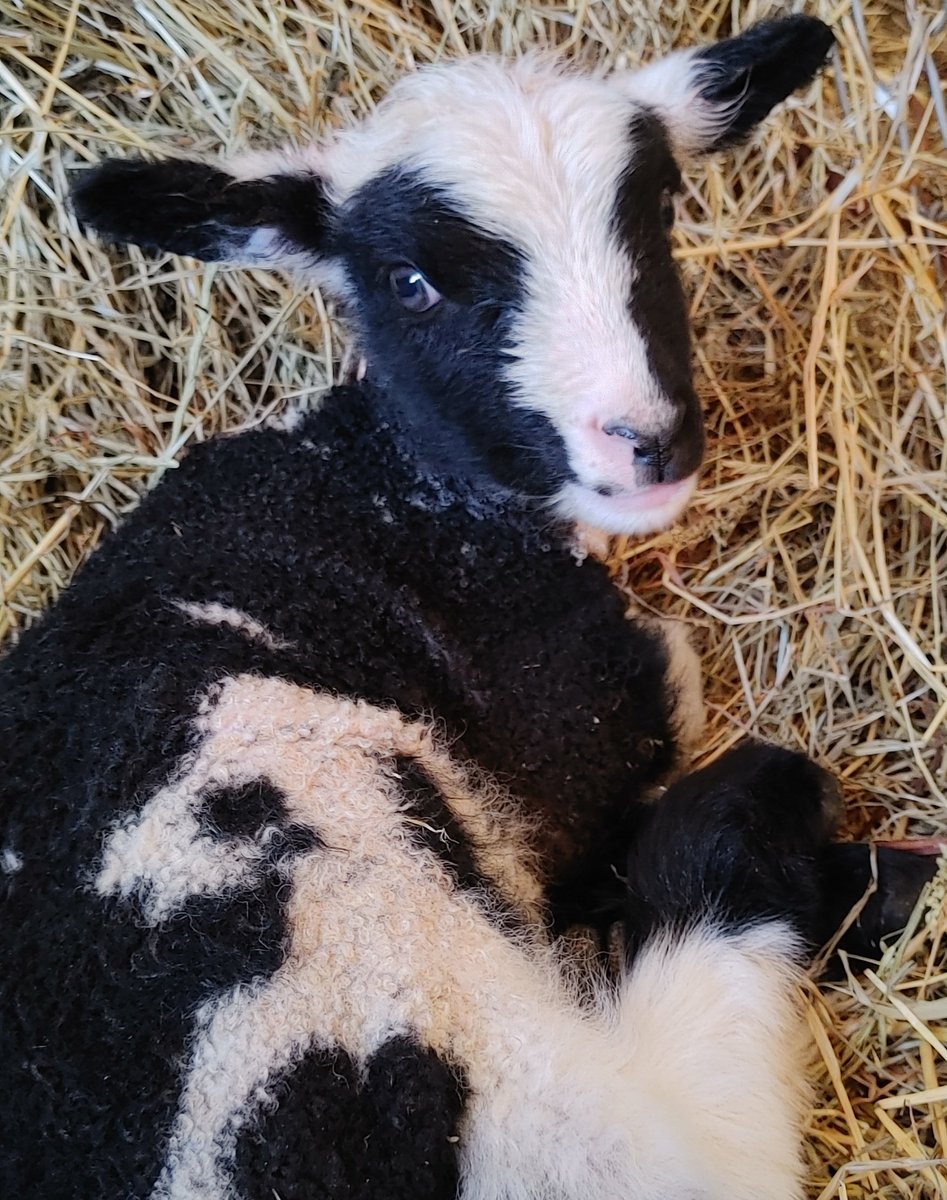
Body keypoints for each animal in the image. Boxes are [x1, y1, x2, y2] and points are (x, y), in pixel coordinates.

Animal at [0, 14, 934, 1200]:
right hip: (389, 964)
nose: (646, 443)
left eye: (659, 211)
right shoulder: (587, 709)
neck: (389, 484)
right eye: (409, 282)